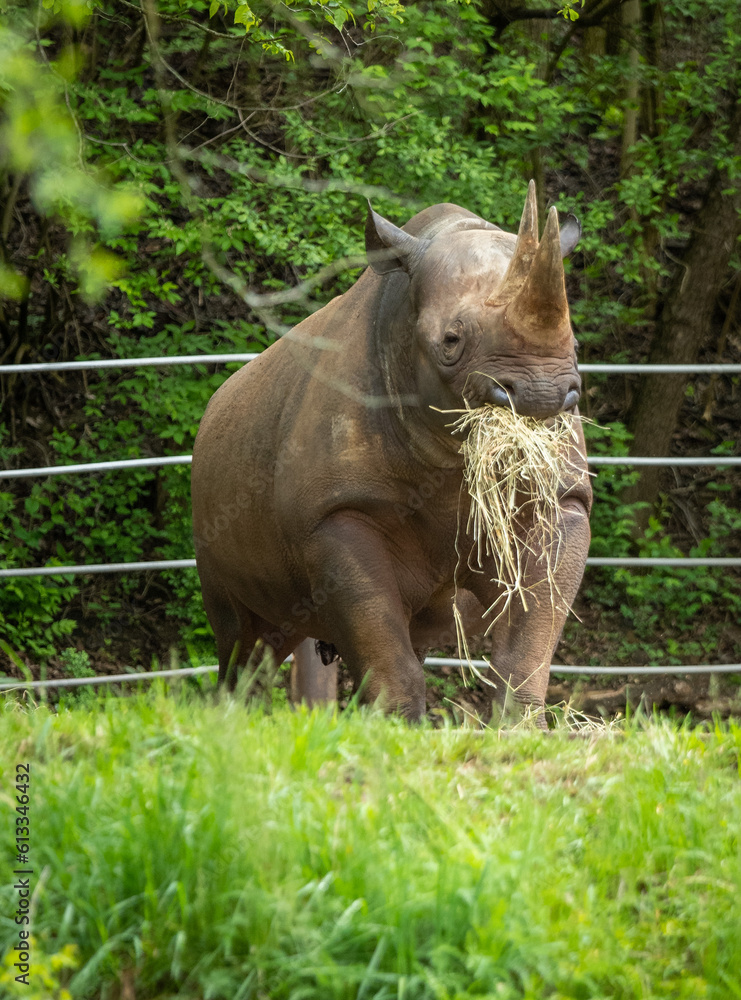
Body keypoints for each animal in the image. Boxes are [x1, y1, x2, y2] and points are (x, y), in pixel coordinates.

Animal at [191, 181, 592, 723]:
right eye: (450, 341)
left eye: (576, 344)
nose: (542, 397)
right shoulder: (337, 511)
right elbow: (378, 635)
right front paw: (398, 728)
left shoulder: (563, 500)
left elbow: (529, 639)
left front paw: (518, 727)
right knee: (242, 638)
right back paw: (232, 719)